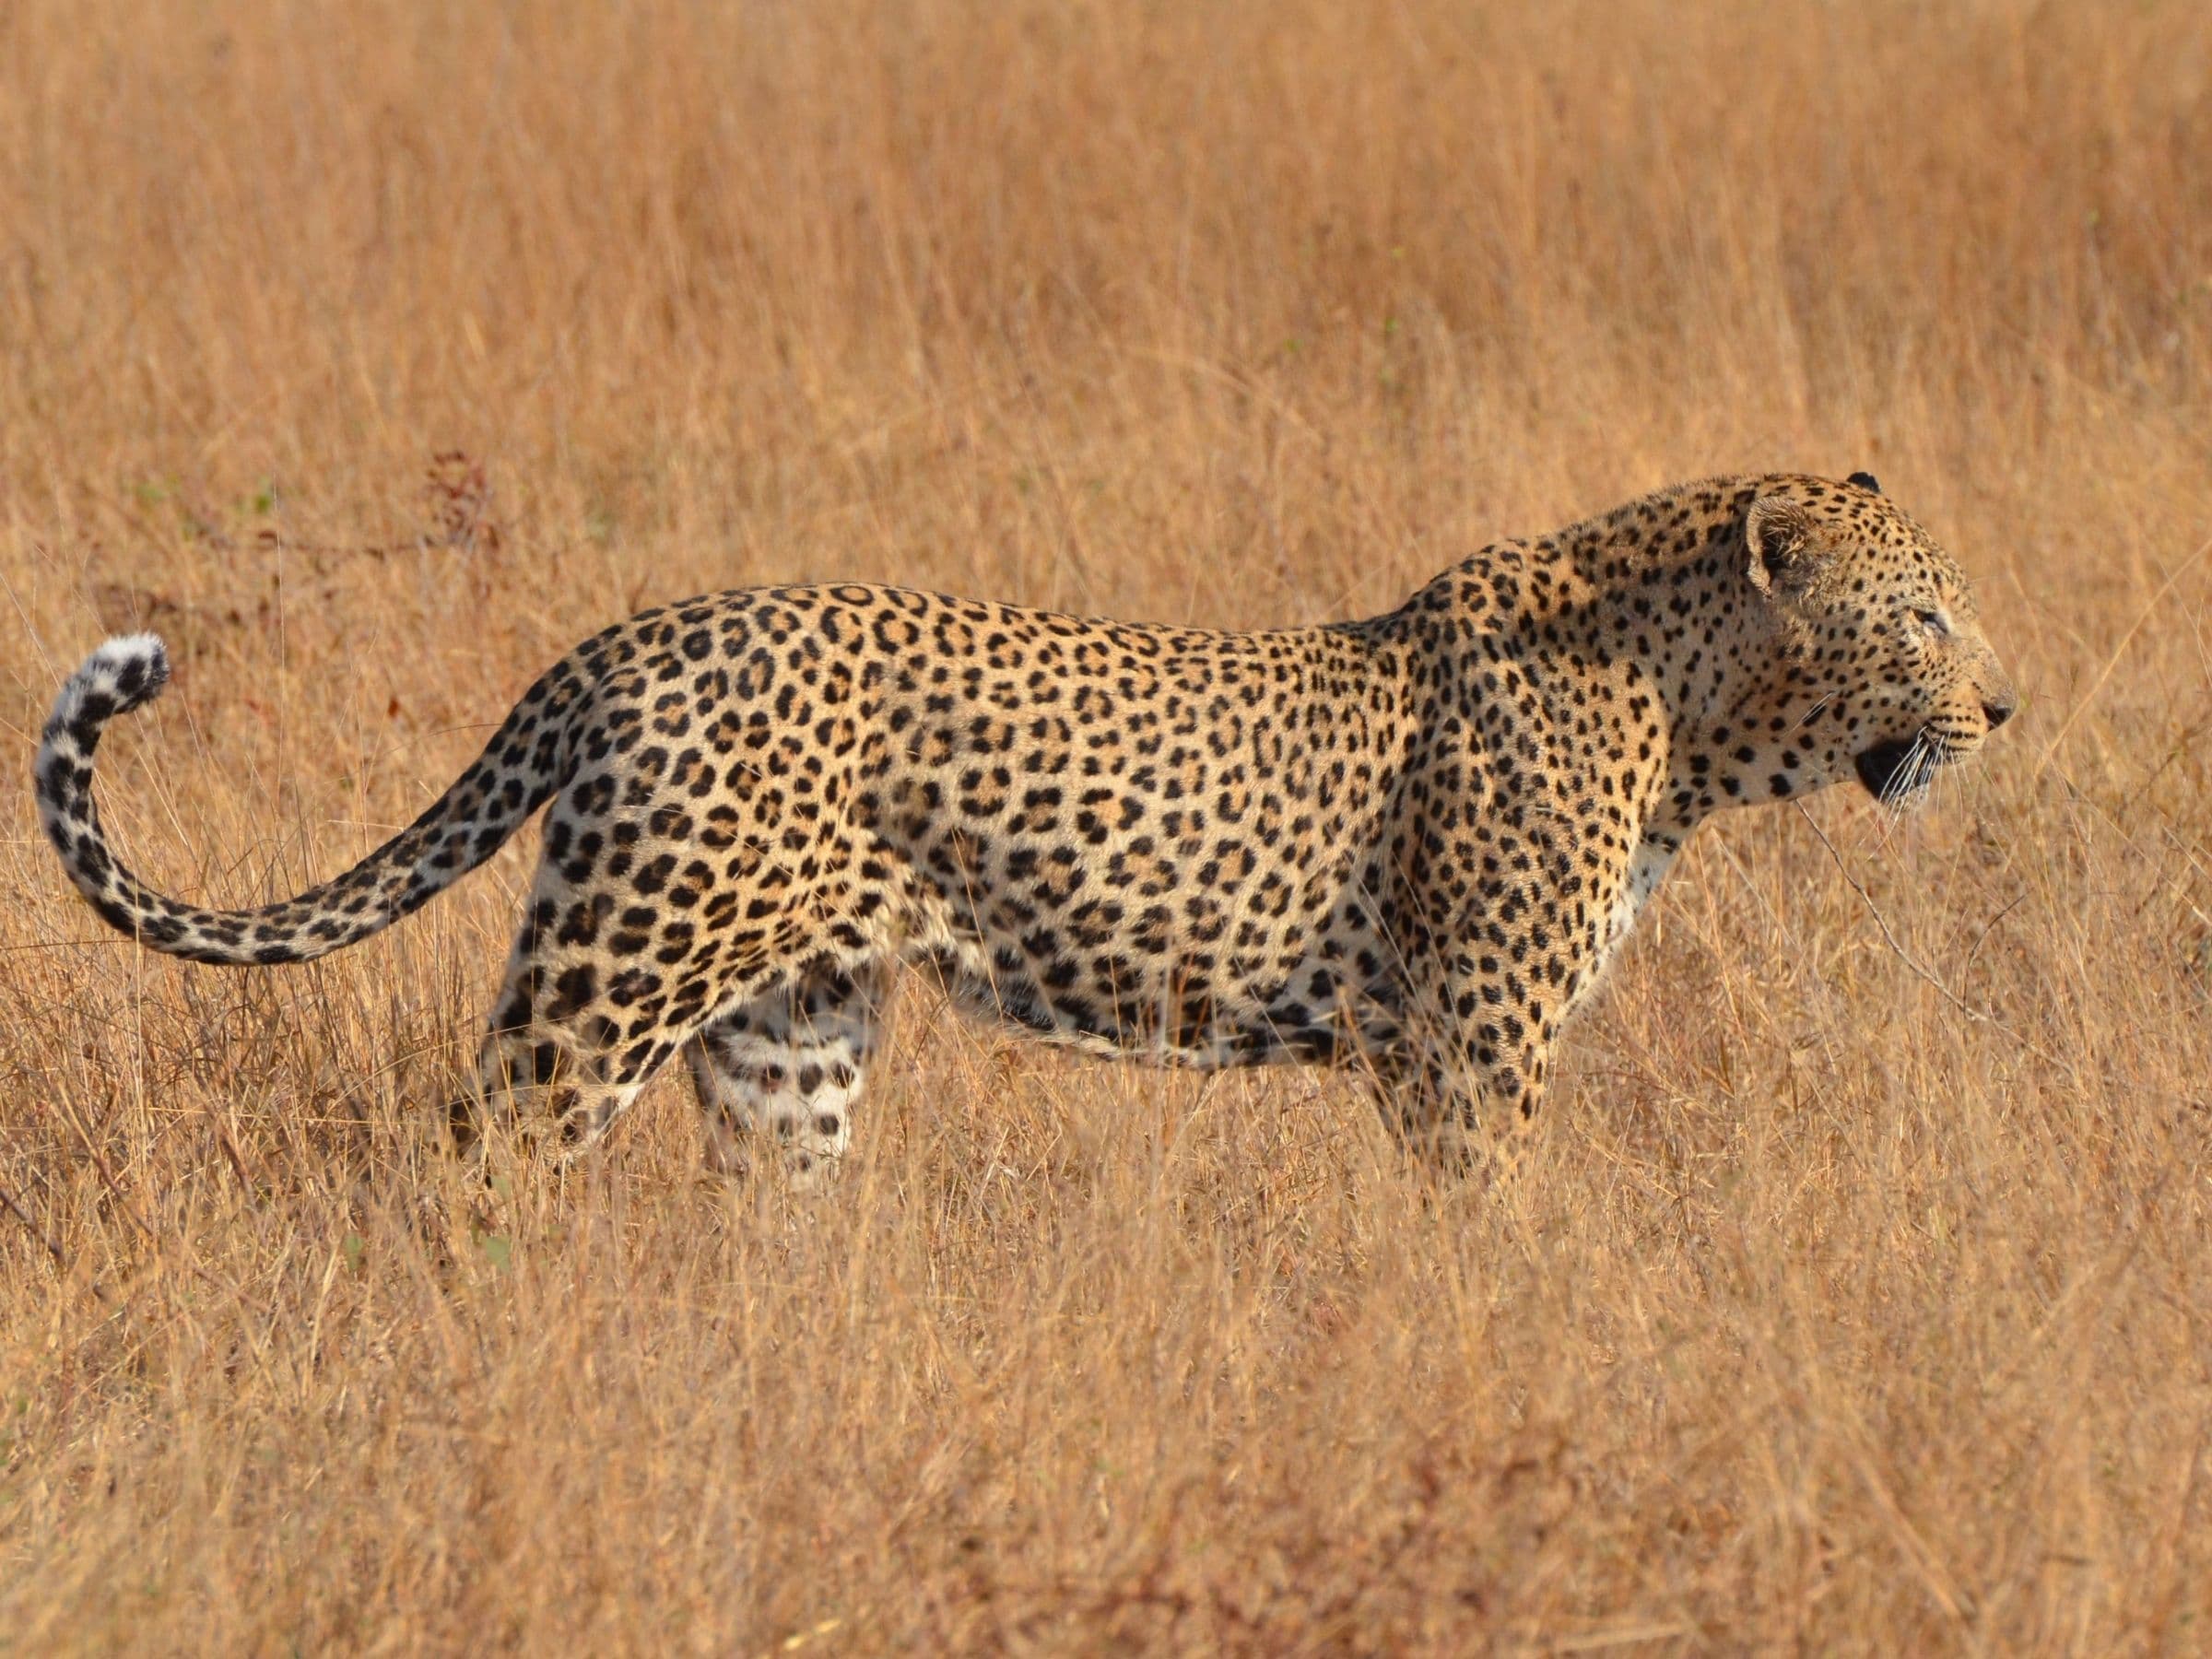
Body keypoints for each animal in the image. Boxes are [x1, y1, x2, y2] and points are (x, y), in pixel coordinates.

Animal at [36, 472, 2016, 1179]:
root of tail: (621, 643)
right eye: (1923, 615)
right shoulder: (1471, 1040)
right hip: (616, 969)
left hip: (788, 1033)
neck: (1686, 723)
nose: (2004, 709)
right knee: (475, 1153)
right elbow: (1499, 1219)